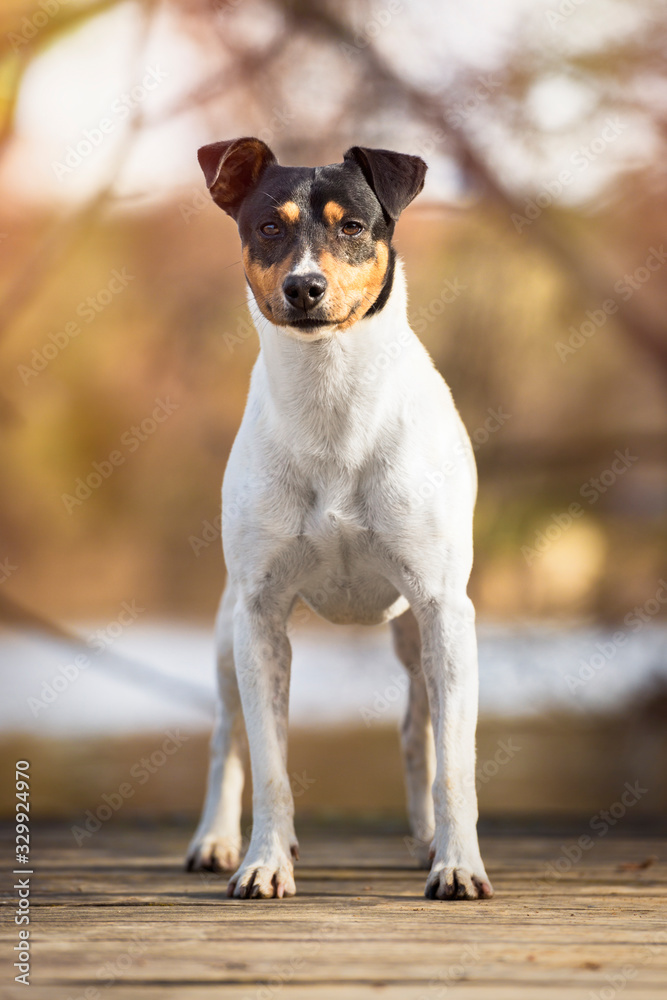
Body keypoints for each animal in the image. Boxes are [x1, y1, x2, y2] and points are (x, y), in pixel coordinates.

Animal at [185, 137, 494, 904]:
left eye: (351, 226)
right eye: (269, 227)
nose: (304, 288)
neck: (332, 406)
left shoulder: (445, 609)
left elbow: (454, 765)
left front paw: (457, 864)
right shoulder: (262, 617)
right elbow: (270, 764)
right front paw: (264, 862)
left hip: (419, 636)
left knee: (418, 732)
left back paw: (428, 840)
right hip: (226, 633)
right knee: (227, 736)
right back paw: (216, 839)